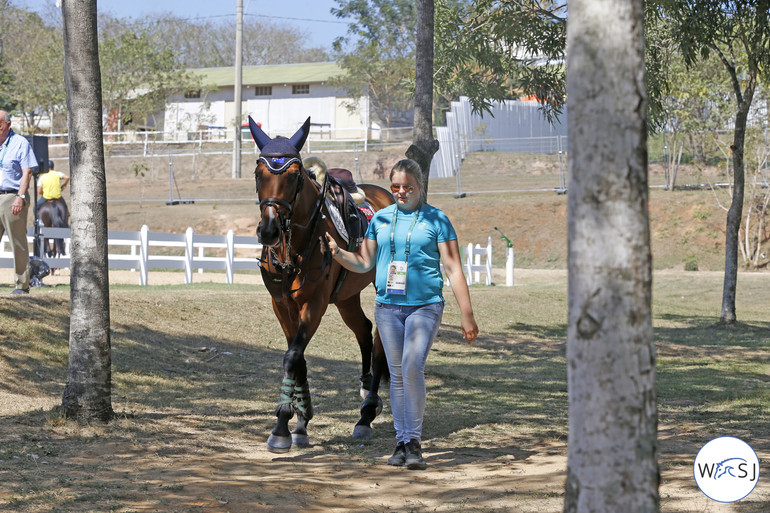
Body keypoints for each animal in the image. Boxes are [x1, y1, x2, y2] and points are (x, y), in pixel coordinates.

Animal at [250, 117, 396, 452]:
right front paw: (300, 422)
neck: (295, 246)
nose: (268, 230)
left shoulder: (314, 304)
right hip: (345, 297)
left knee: (380, 339)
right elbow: (298, 359)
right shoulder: (282, 305)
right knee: (364, 330)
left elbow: (293, 356)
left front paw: (281, 425)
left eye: (294, 176)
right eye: (258, 173)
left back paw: (366, 414)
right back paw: (366, 393)